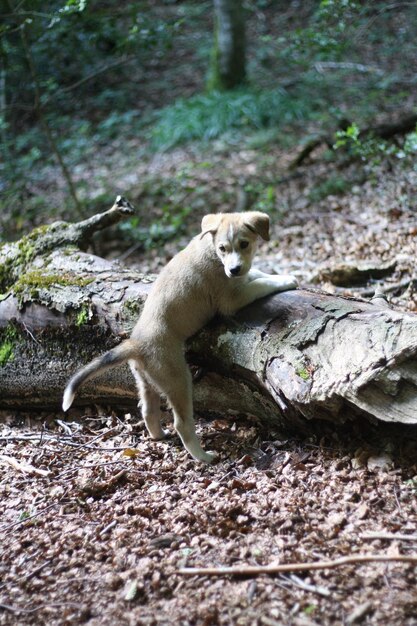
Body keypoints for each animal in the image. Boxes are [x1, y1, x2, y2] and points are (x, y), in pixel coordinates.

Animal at [62, 212, 296, 460]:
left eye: (244, 244)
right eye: (223, 248)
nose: (234, 270)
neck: (211, 251)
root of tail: (136, 344)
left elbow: (256, 273)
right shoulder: (231, 300)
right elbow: (260, 283)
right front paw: (286, 280)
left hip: (146, 382)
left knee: (148, 411)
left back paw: (159, 436)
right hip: (178, 380)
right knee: (182, 424)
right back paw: (204, 457)